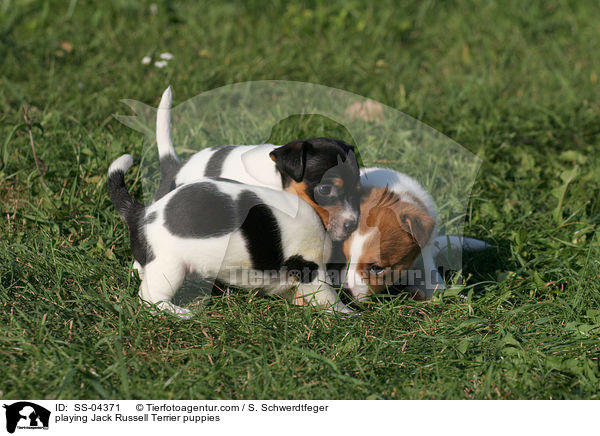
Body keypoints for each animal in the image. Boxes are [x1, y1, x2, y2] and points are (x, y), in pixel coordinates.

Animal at [108, 154, 352, 316]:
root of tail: (142, 214)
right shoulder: (310, 268)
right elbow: (328, 296)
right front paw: (348, 313)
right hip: (169, 268)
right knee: (151, 299)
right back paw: (178, 312)